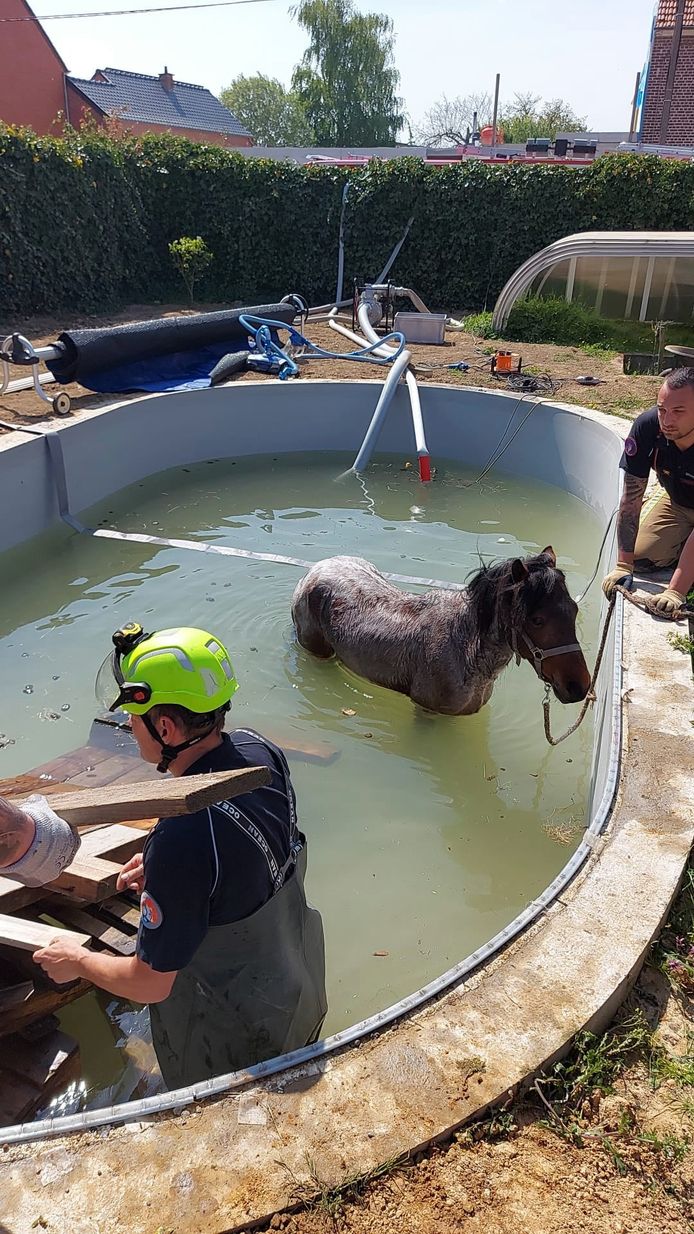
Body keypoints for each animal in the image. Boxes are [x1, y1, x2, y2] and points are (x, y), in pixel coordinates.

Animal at [290, 547, 587, 715]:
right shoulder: (429, 711)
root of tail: (317, 568)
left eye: (574, 610)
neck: (467, 650)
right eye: (537, 620)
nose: (579, 686)